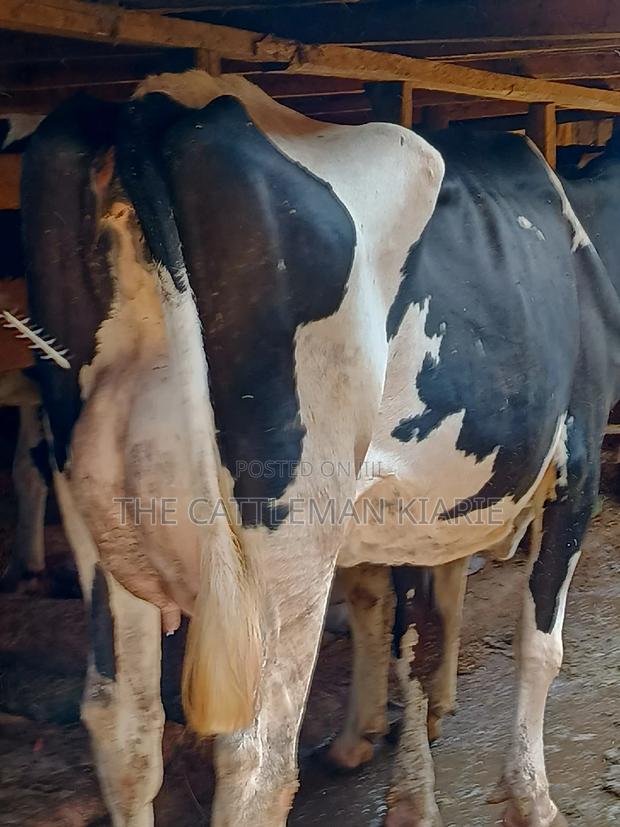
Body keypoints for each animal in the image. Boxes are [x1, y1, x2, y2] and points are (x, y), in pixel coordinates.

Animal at [20, 70, 619, 827]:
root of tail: (157, 101)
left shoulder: (406, 499)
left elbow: (401, 624)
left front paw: (390, 755)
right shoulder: (578, 461)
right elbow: (537, 644)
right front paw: (529, 796)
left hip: (97, 512)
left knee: (122, 729)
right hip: (285, 530)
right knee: (256, 756)